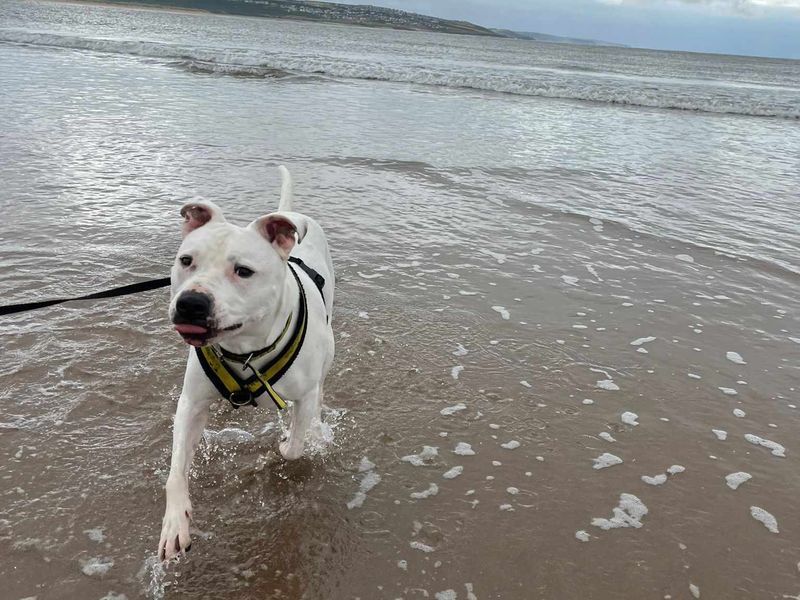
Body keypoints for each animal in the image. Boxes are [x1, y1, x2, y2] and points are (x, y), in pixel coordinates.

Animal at [159, 166, 334, 560]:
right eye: (186, 261)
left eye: (243, 271)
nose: (191, 302)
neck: (245, 348)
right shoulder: (191, 403)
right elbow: (175, 471)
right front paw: (175, 523)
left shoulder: (303, 396)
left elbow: (295, 447)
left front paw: (286, 443)